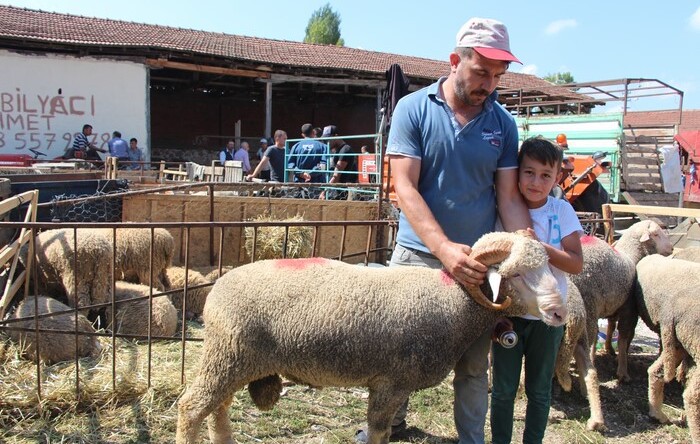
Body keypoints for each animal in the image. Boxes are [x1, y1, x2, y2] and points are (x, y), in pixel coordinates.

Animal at [176, 231, 568, 442]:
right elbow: (379, 432)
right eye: (515, 274)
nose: (559, 313)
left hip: (232, 360)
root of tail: (217, 289)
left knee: (218, 408)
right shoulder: (389, 382)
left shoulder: (395, 384)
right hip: (228, 354)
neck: (451, 300)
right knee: (192, 407)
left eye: (549, 267)